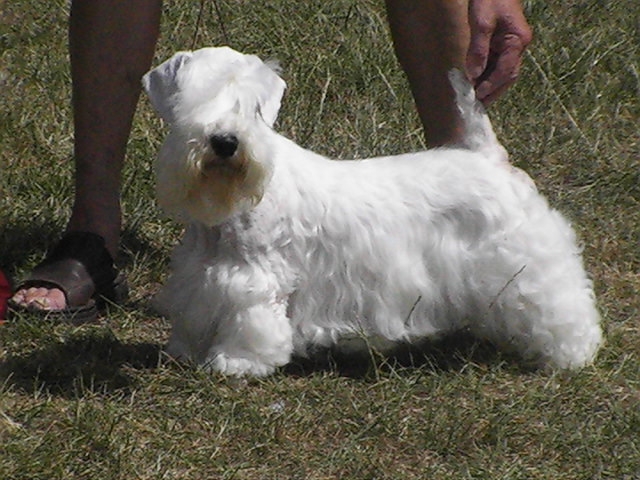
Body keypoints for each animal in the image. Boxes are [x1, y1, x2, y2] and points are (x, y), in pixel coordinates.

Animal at [142, 47, 604, 378]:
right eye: (190, 100)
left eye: (253, 106)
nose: (225, 142)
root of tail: (488, 157)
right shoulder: (200, 277)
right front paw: (186, 352)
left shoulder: (256, 280)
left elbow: (251, 322)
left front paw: (237, 363)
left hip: (525, 263)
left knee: (561, 304)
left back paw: (571, 354)